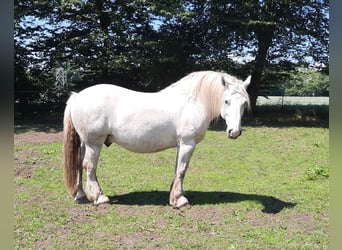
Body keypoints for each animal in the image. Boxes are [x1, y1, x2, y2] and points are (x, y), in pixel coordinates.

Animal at [63, 71, 251, 209]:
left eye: (243, 103)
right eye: (226, 101)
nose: (234, 132)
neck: (193, 102)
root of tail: (77, 96)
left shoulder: (181, 145)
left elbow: (177, 170)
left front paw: (175, 196)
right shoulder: (188, 143)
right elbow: (182, 170)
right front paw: (180, 201)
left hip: (85, 143)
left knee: (79, 165)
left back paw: (81, 195)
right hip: (94, 143)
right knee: (89, 166)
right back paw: (100, 197)